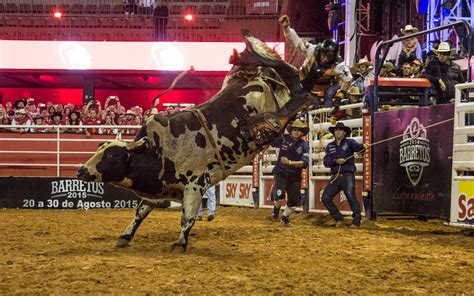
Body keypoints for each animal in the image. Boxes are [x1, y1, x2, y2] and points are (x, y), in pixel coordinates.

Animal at [78, 32, 314, 251]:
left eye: (112, 155)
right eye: (99, 150)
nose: (81, 170)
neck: (158, 151)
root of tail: (256, 74)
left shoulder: (194, 184)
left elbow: (188, 217)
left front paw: (180, 243)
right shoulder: (159, 191)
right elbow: (141, 212)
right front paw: (125, 236)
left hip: (285, 89)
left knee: (299, 89)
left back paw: (272, 116)